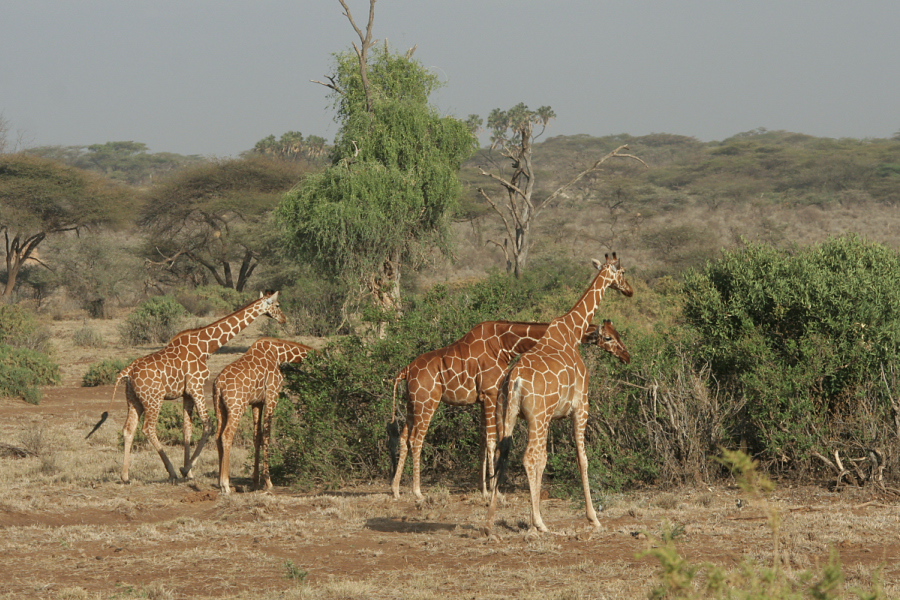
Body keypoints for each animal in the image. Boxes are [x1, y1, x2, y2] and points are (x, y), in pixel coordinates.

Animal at [97, 290, 284, 482]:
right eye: (277, 305)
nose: (283, 319)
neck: (206, 347)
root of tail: (129, 370)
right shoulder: (196, 385)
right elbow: (208, 425)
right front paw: (185, 469)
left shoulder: (187, 393)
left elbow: (187, 429)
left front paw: (189, 472)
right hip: (154, 399)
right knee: (148, 428)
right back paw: (171, 471)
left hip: (133, 399)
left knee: (129, 429)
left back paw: (125, 476)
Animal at [214, 336, 312, 494]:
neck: (279, 354)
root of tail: (218, 385)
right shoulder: (272, 395)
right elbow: (267, 434)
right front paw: (268, 481)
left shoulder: (257, 402)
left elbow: (257, 437)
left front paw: (255, 482)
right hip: (236, 407)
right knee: (227, 435)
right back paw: (225, 485)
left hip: (219, 407)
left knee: (217, 437)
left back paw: (219, 483)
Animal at [388, 318, 632, 502]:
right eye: (608, 338)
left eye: (619, 334)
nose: (626, 356)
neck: (504, 344)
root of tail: (405, 370)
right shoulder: (490, 394)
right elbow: (492, 441)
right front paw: (491, 491)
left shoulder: (484, 399)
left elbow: (483, 441)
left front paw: (484, 489)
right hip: (427, 402)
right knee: (416, 439)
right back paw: (417, 492)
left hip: (411, 404)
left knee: (403, 437)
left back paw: (396, 489)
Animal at [486, 254, 632, 536]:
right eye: (622, 272)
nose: (629, 290)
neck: (572, 332)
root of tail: (514, 380)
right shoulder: (581, 405)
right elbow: (582, 458)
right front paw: (593, 518)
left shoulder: (553, 417)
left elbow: (548, 459)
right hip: (537, 417)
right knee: (530, 457)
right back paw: (539, 522)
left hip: (505, 414)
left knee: (503, 454)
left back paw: (490, 522)